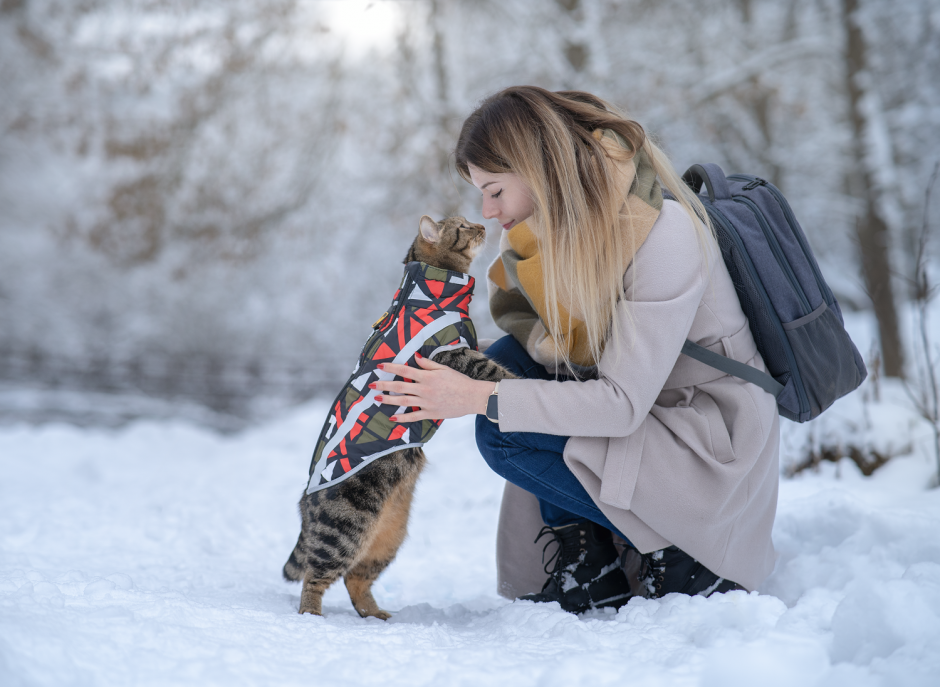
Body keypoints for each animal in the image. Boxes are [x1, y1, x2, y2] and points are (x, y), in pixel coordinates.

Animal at [284, 214, 516, 620]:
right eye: (462, 227)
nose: (481, 226)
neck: (431, 288)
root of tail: (304, 504)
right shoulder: (451, 355)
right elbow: (493, 370)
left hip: (389, 536)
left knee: (356, 579)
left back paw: (377, 615)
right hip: (344, 529)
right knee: (315, 576)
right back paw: (312, 615)